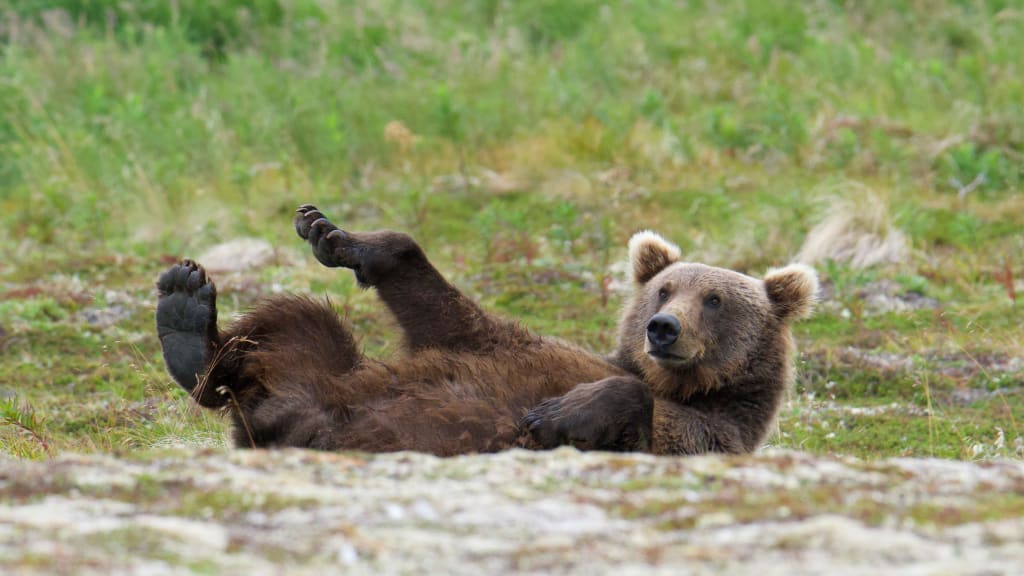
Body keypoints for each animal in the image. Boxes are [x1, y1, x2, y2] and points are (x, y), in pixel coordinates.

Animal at [155, 204, 817, 455]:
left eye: (714, 299)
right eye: (663, 289)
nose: (662, 328)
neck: (682, 387)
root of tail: (283, 421)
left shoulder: (708, 434)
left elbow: (635, 419)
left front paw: (555, 413)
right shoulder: (521, 347)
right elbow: (453, 321)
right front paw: (335, 236)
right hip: (317, 369)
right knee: (294, 325)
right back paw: (186, 316)